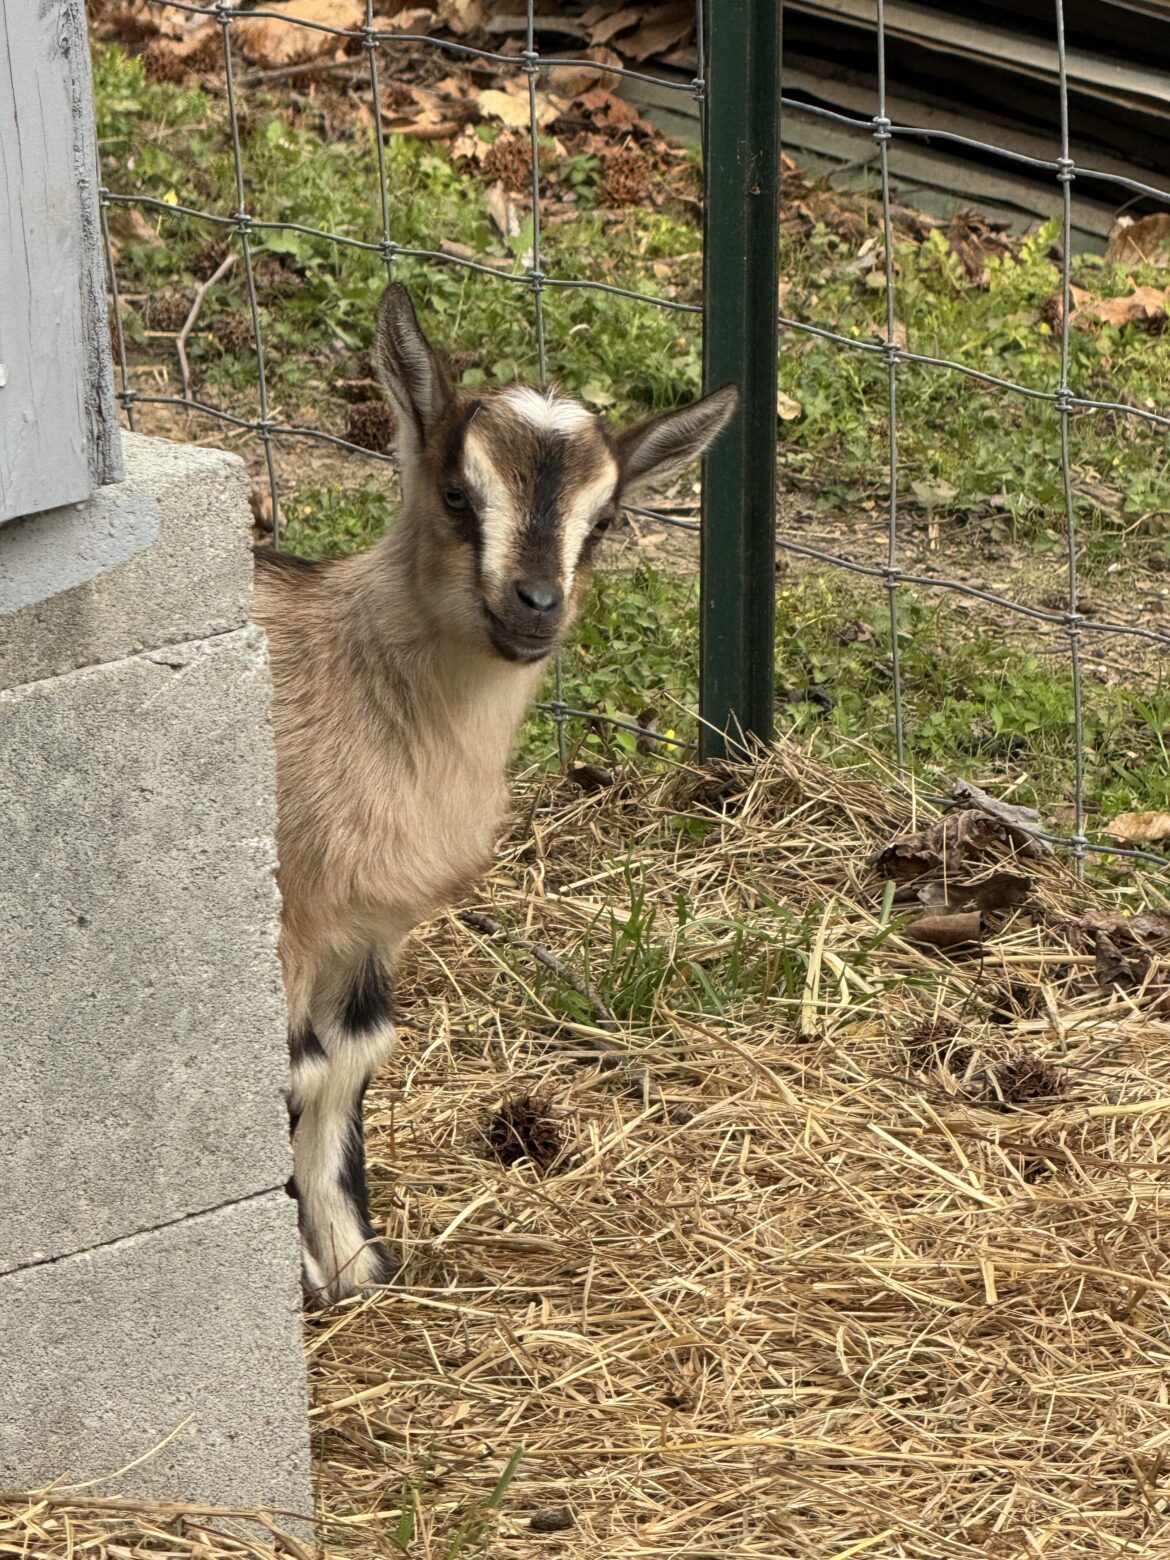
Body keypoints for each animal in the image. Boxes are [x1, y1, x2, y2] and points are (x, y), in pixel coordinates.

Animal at [253, 282, 738, 1302]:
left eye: (605, 521)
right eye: (454, 493)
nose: (534, 604)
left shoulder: (370, 926)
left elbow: (346, 1062)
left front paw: (356, 1261)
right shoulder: (291, 919)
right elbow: (286, 1070)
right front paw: (303, 1275)